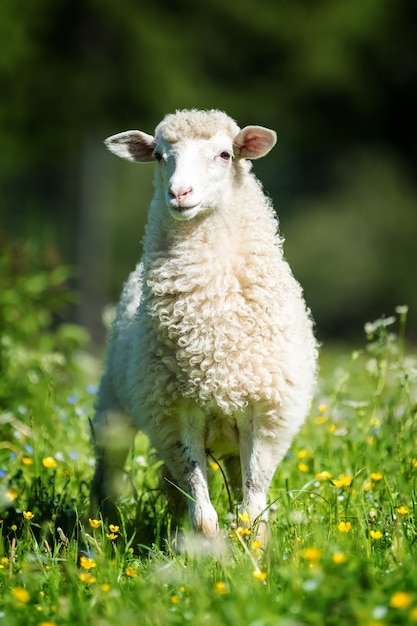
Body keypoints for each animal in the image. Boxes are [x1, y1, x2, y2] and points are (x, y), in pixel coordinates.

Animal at [91, 109, 316, 540]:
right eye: (159, 155)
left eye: (225, 154)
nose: (179, 193)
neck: (210, 336)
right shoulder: (176, 414)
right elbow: (203, 511)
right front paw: (206, 550)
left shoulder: (263, 413)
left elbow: (253, 504)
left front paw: (255, 551)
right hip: (114, 409)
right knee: (110, 472)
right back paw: (99, 531)